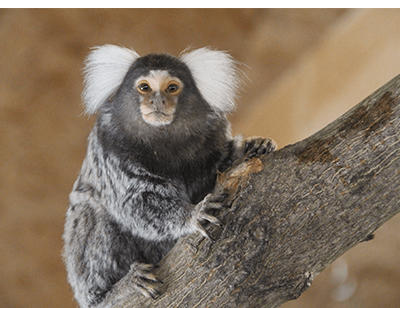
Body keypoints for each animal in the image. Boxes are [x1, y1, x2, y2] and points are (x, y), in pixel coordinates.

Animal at [61, 45, 276, 308]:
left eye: (172, 88)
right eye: (144, 87)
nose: (158, 100)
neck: (162, 139)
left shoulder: (211, 132)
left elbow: (217, 169)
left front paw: (250, 147)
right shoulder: (109, 144)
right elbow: (137, 200)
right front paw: (192, 215)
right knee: (91, 214)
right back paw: (118, 289)